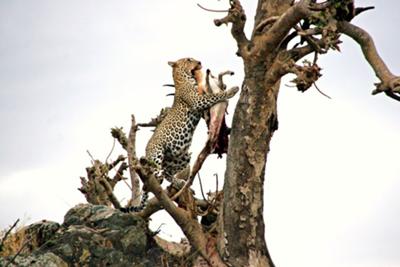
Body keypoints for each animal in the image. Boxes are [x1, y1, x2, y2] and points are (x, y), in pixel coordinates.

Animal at [122, 58, 239, 214]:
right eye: (189, 59)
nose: (200, 62)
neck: (184, 79)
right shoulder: (197, 101)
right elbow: (214, 95)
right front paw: (232, 90)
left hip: (183, 157)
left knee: (167, 172)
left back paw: (178, 182)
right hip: (157, 154)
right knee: (156, 173)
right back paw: (157, 179)